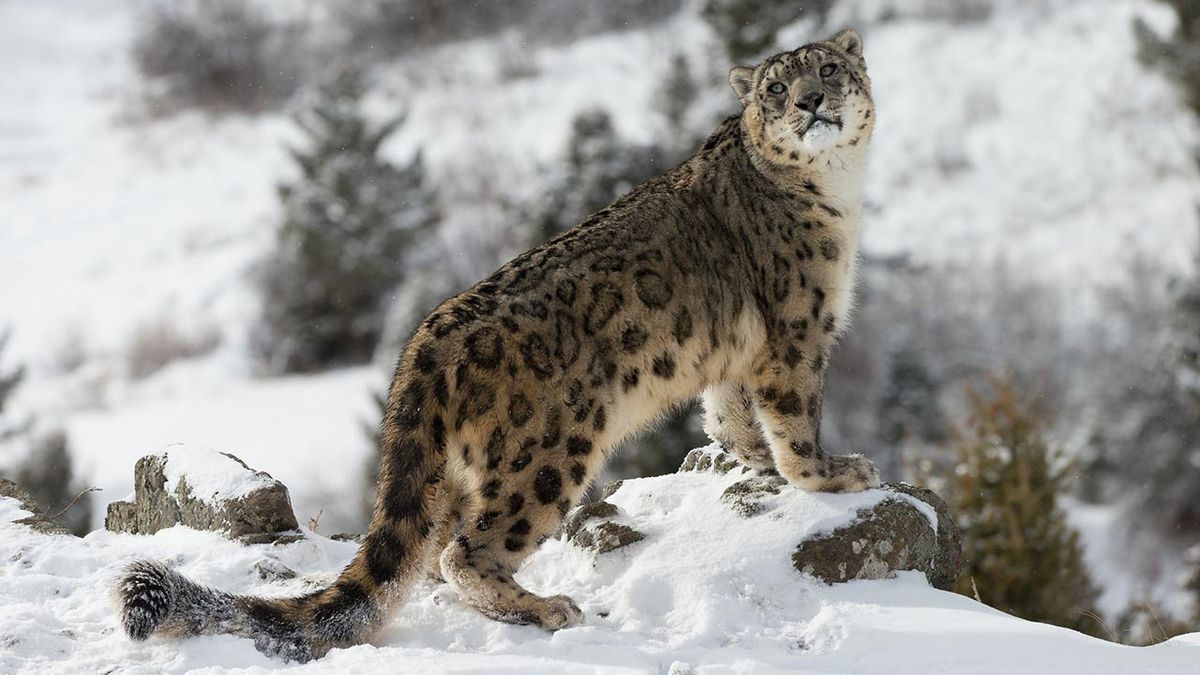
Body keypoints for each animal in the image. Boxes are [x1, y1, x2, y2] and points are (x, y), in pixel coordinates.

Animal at [115, 28, 878, 661]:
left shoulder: (736, 354)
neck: (837, 192)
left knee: (429, 553)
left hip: (462, 473)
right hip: (546, 453)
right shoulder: (797, 332)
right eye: (777, 88)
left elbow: (731, 415)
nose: (811, 102)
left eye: (829, 70)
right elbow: (794, 416)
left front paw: (755, 462)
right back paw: (547, 607)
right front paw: (832, 474)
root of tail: (426, 341)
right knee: (467, 551)